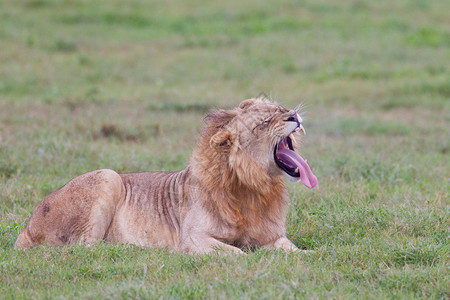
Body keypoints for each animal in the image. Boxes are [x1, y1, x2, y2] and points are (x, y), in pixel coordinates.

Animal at [14, 98, 316, 253]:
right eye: (263, 123)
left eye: (279, 108)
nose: (294, 115)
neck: (254, 187)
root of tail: (27, 227)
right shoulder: (192, 238)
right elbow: (237, 252)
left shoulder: (272, 237)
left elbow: (293, 251)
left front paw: (309, 257)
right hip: (108, 177)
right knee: (84, 248)